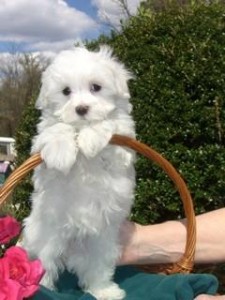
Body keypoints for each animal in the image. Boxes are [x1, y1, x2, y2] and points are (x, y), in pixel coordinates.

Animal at [22, 45, 135, 298]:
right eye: (66, 91)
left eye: (96, 87)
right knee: (45, 265)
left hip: (101, 244)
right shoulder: (40, 156)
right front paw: (62, 151)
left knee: (97, 270)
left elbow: (108, 125)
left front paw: (90, 138)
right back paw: (44, 288)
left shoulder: (123, 147)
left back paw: (105, 291)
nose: (81, 109)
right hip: (45, 239)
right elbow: (57, 129)